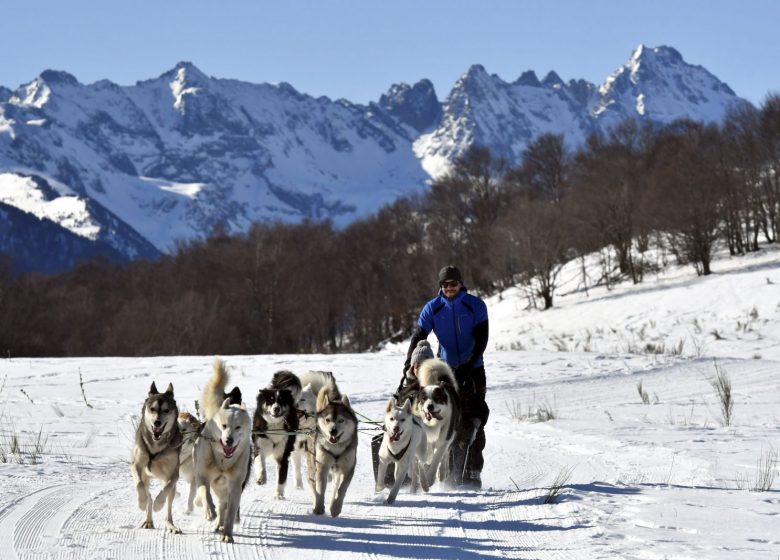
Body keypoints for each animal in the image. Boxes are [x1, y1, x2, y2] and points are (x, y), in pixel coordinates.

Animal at [130, 380, 182, 532]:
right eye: (152, 409)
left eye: (166, 410)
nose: (157, 422)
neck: (156, 446)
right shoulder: (136, 465)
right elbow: (139, 485)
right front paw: (141, 503)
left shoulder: (173, 474)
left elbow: (166, 489)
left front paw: (158, 505)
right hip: (146, 477)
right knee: (148, 494)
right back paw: (148, 520)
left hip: (171, 488)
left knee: (168, 506)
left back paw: (171, 525)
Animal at [194, 358, 251, 544]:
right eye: (224, 426)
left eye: (238, 427)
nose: (229, 440)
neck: (222, 460)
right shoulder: (202, 475)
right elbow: (204, 492)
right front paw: (209, 511)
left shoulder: (235, 485)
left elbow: (231, 511)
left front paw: (228, 533)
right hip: (217, 485)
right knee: (218, 501)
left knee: (225, 505)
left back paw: (222, 526)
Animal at [312, 382, 358, 520]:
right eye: (327, 420)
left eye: (341, 420)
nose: (333, 431)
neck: (336, 448)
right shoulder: (322, 466)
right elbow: (320, 488)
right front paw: (319, 507)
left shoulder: (347, 469)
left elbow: (341, 489)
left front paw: (336, 508)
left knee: (335, 487)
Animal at [414, 360, 458, 488]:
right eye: (424, 398)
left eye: (437, 398)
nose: (429, 406)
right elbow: (423, 459)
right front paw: (424, 482)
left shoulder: (445, 439)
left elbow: (437, 458)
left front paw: (430, 478)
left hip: (450, 436)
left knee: (445, 455)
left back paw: (442, 473)